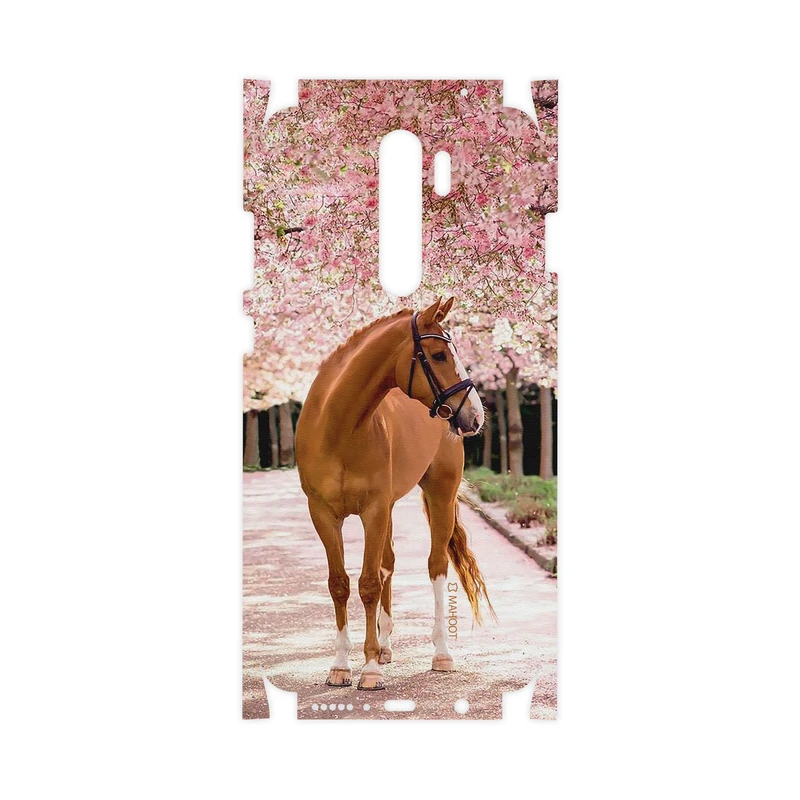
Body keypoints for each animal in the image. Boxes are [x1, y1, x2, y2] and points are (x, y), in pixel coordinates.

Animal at [295, 297, 494, 690]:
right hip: (387, 508)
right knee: (388, 563)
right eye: (438, 355)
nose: (476, 416)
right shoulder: (324, 514)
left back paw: (441, 653)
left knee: (435, 566)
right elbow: (340, 584)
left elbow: (369, 584)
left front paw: (369, 670)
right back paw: (385, 646)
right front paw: (341, 666)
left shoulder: (372, 510)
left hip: (439, 494)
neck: (338, 428)